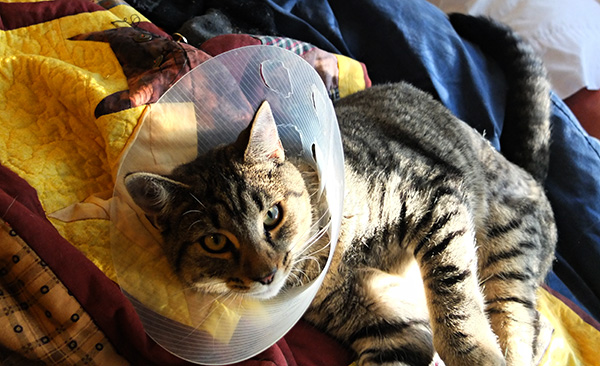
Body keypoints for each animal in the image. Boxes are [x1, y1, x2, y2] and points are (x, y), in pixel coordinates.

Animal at [125, 13, 556, 366]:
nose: (266, 274)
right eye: (214, 241)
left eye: (272, 215)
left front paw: (473, 354)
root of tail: (523, 168)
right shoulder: (394, 329)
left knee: (521, 325)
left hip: (508, 257)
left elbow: (454, 295)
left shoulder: (435, 196)